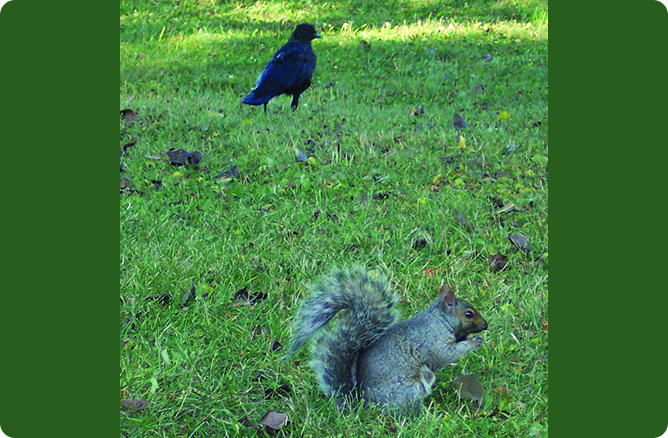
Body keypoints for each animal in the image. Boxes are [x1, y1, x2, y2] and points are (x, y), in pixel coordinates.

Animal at [288, 266, 488, 416]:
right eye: (469, 314)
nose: (485, 325)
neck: (440, 319)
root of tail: (366, 405)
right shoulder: (434, 340)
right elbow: (445, 355)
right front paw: (474, 342)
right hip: (407, 391)